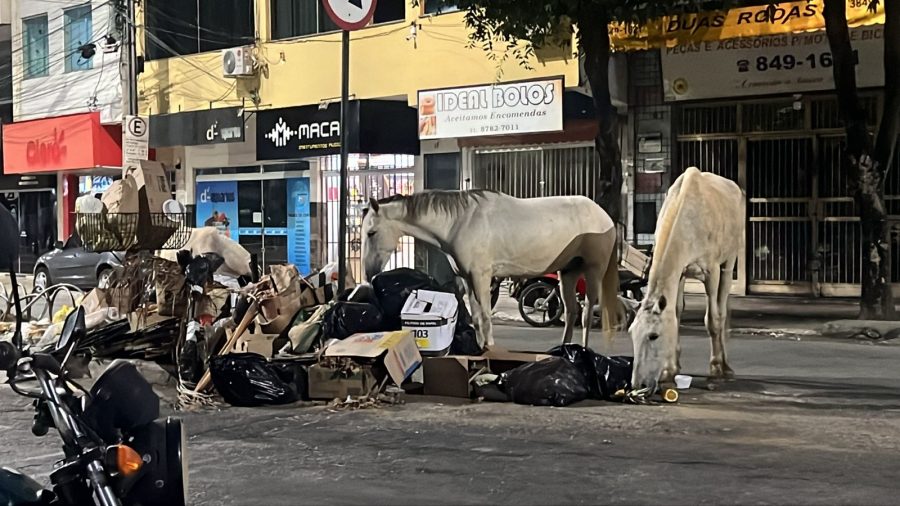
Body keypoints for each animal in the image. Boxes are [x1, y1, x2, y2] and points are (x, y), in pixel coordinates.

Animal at [358, 190, 620, 348]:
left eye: (371, 232)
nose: (369, 273)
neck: (459, 222)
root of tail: (604, 215)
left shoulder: (481, 277)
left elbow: (485, 316)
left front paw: (490, 349)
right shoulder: (467, 279)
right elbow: (475, 317)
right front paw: (480, 348)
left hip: (594, 271)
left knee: (586, 313)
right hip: (567, 273)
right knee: (572, 312)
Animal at [624, 168, 744, 394]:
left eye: (653, 335)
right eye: (631, 333)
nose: (638, 385)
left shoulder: (711, 271)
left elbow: (712, 319)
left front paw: (715, 368)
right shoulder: (679, 272)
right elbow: (676, 312)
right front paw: (670, 370)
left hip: (730, 259)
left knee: (722, 311)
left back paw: (725, 366)